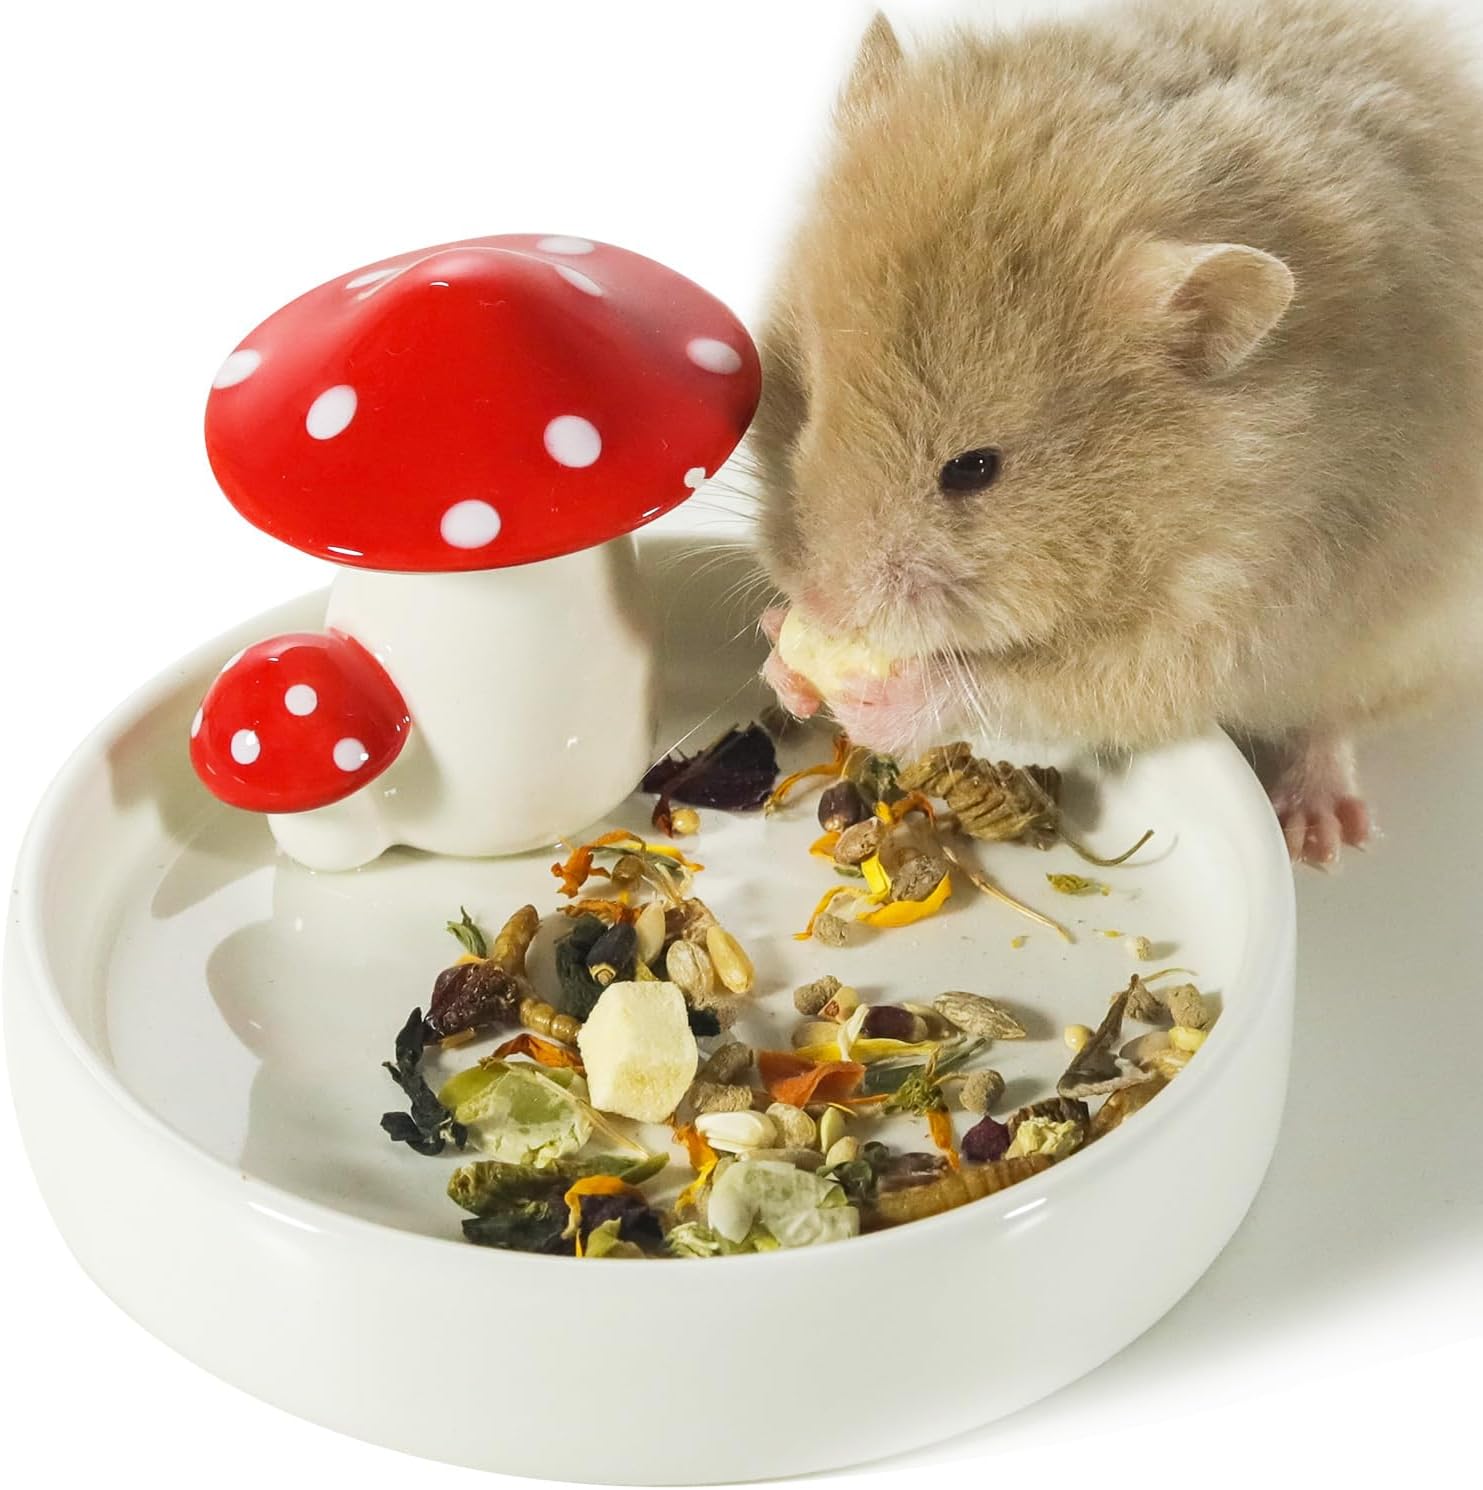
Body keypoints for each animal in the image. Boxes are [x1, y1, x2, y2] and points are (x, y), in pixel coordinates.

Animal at [751, 0, 1483, 866]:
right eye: (802, 399)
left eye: (974, 468)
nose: (823, 609)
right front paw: (780, 651)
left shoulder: (1225, 615)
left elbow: (1034, 686)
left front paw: (874, 696)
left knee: (1330, 718)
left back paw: (1319, 834)